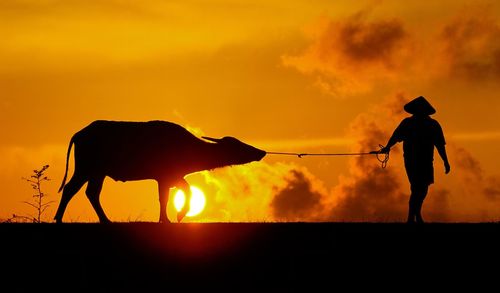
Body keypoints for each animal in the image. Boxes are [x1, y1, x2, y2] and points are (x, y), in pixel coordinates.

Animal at [53, 120, 268, 222]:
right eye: (237, 145)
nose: (261, 152)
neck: (188, 148)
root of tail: (80, 133)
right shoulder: (164, 177)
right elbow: (168, 197)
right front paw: (175, 216)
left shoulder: (171, 177)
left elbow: (180, 192)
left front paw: (173, 216)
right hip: (86, 168)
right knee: (71, 189)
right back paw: (59, 219)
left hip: (97, 172)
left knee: (91, 193)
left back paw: (105, 221)